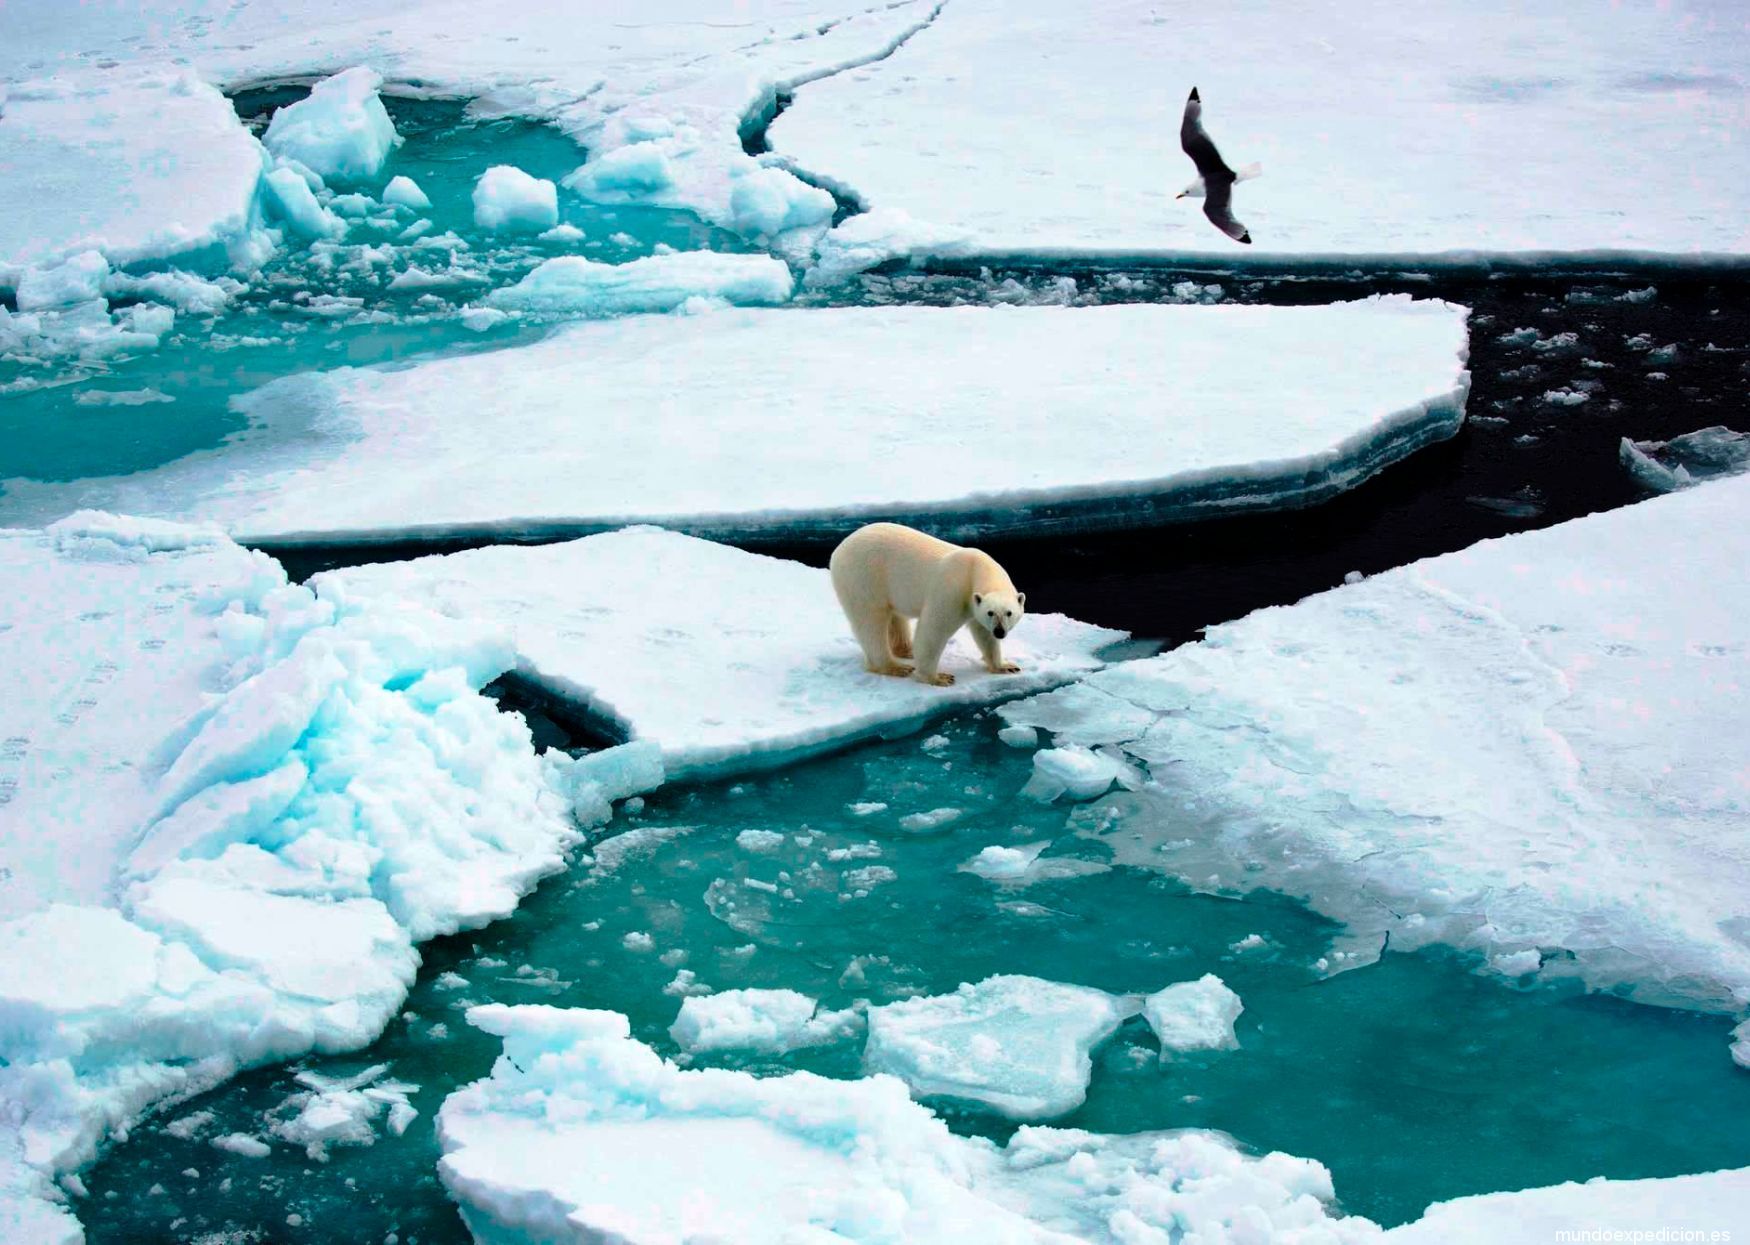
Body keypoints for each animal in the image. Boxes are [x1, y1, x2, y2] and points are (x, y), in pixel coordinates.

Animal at [829, 521, 1022, 686]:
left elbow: (983, 633)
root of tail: (838, 549)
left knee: (895, 618)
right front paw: (938, 678)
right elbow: (934, 629)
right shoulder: (953, 590)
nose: (1000, 631)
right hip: (864, 577)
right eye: (991, 612)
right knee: (871, 622)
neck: (975, 568)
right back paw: (895, 667)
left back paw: (907, 650)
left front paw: (1006, 666)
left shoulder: (974, 603)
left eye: (1009, 613)